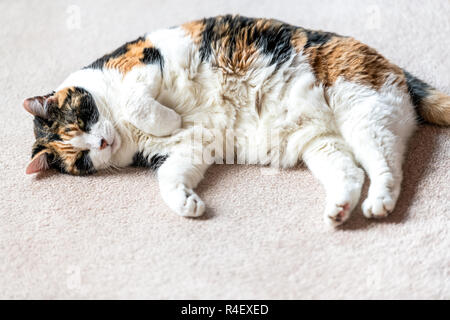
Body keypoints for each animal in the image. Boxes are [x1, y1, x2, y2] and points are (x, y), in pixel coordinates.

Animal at [23, 15, 450, 225]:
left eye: (82, 118)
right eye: (80, 159)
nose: (100, 144)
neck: (126, 135)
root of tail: (397, 70)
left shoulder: (142, 60)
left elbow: (136, 102)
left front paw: (167, 118)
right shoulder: (189, 148)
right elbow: (170, 177)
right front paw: (187, 204)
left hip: (364, 114)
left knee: (388, 167)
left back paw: (379, 204)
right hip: (323, 145)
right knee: (352, 172)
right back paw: (340, 211)